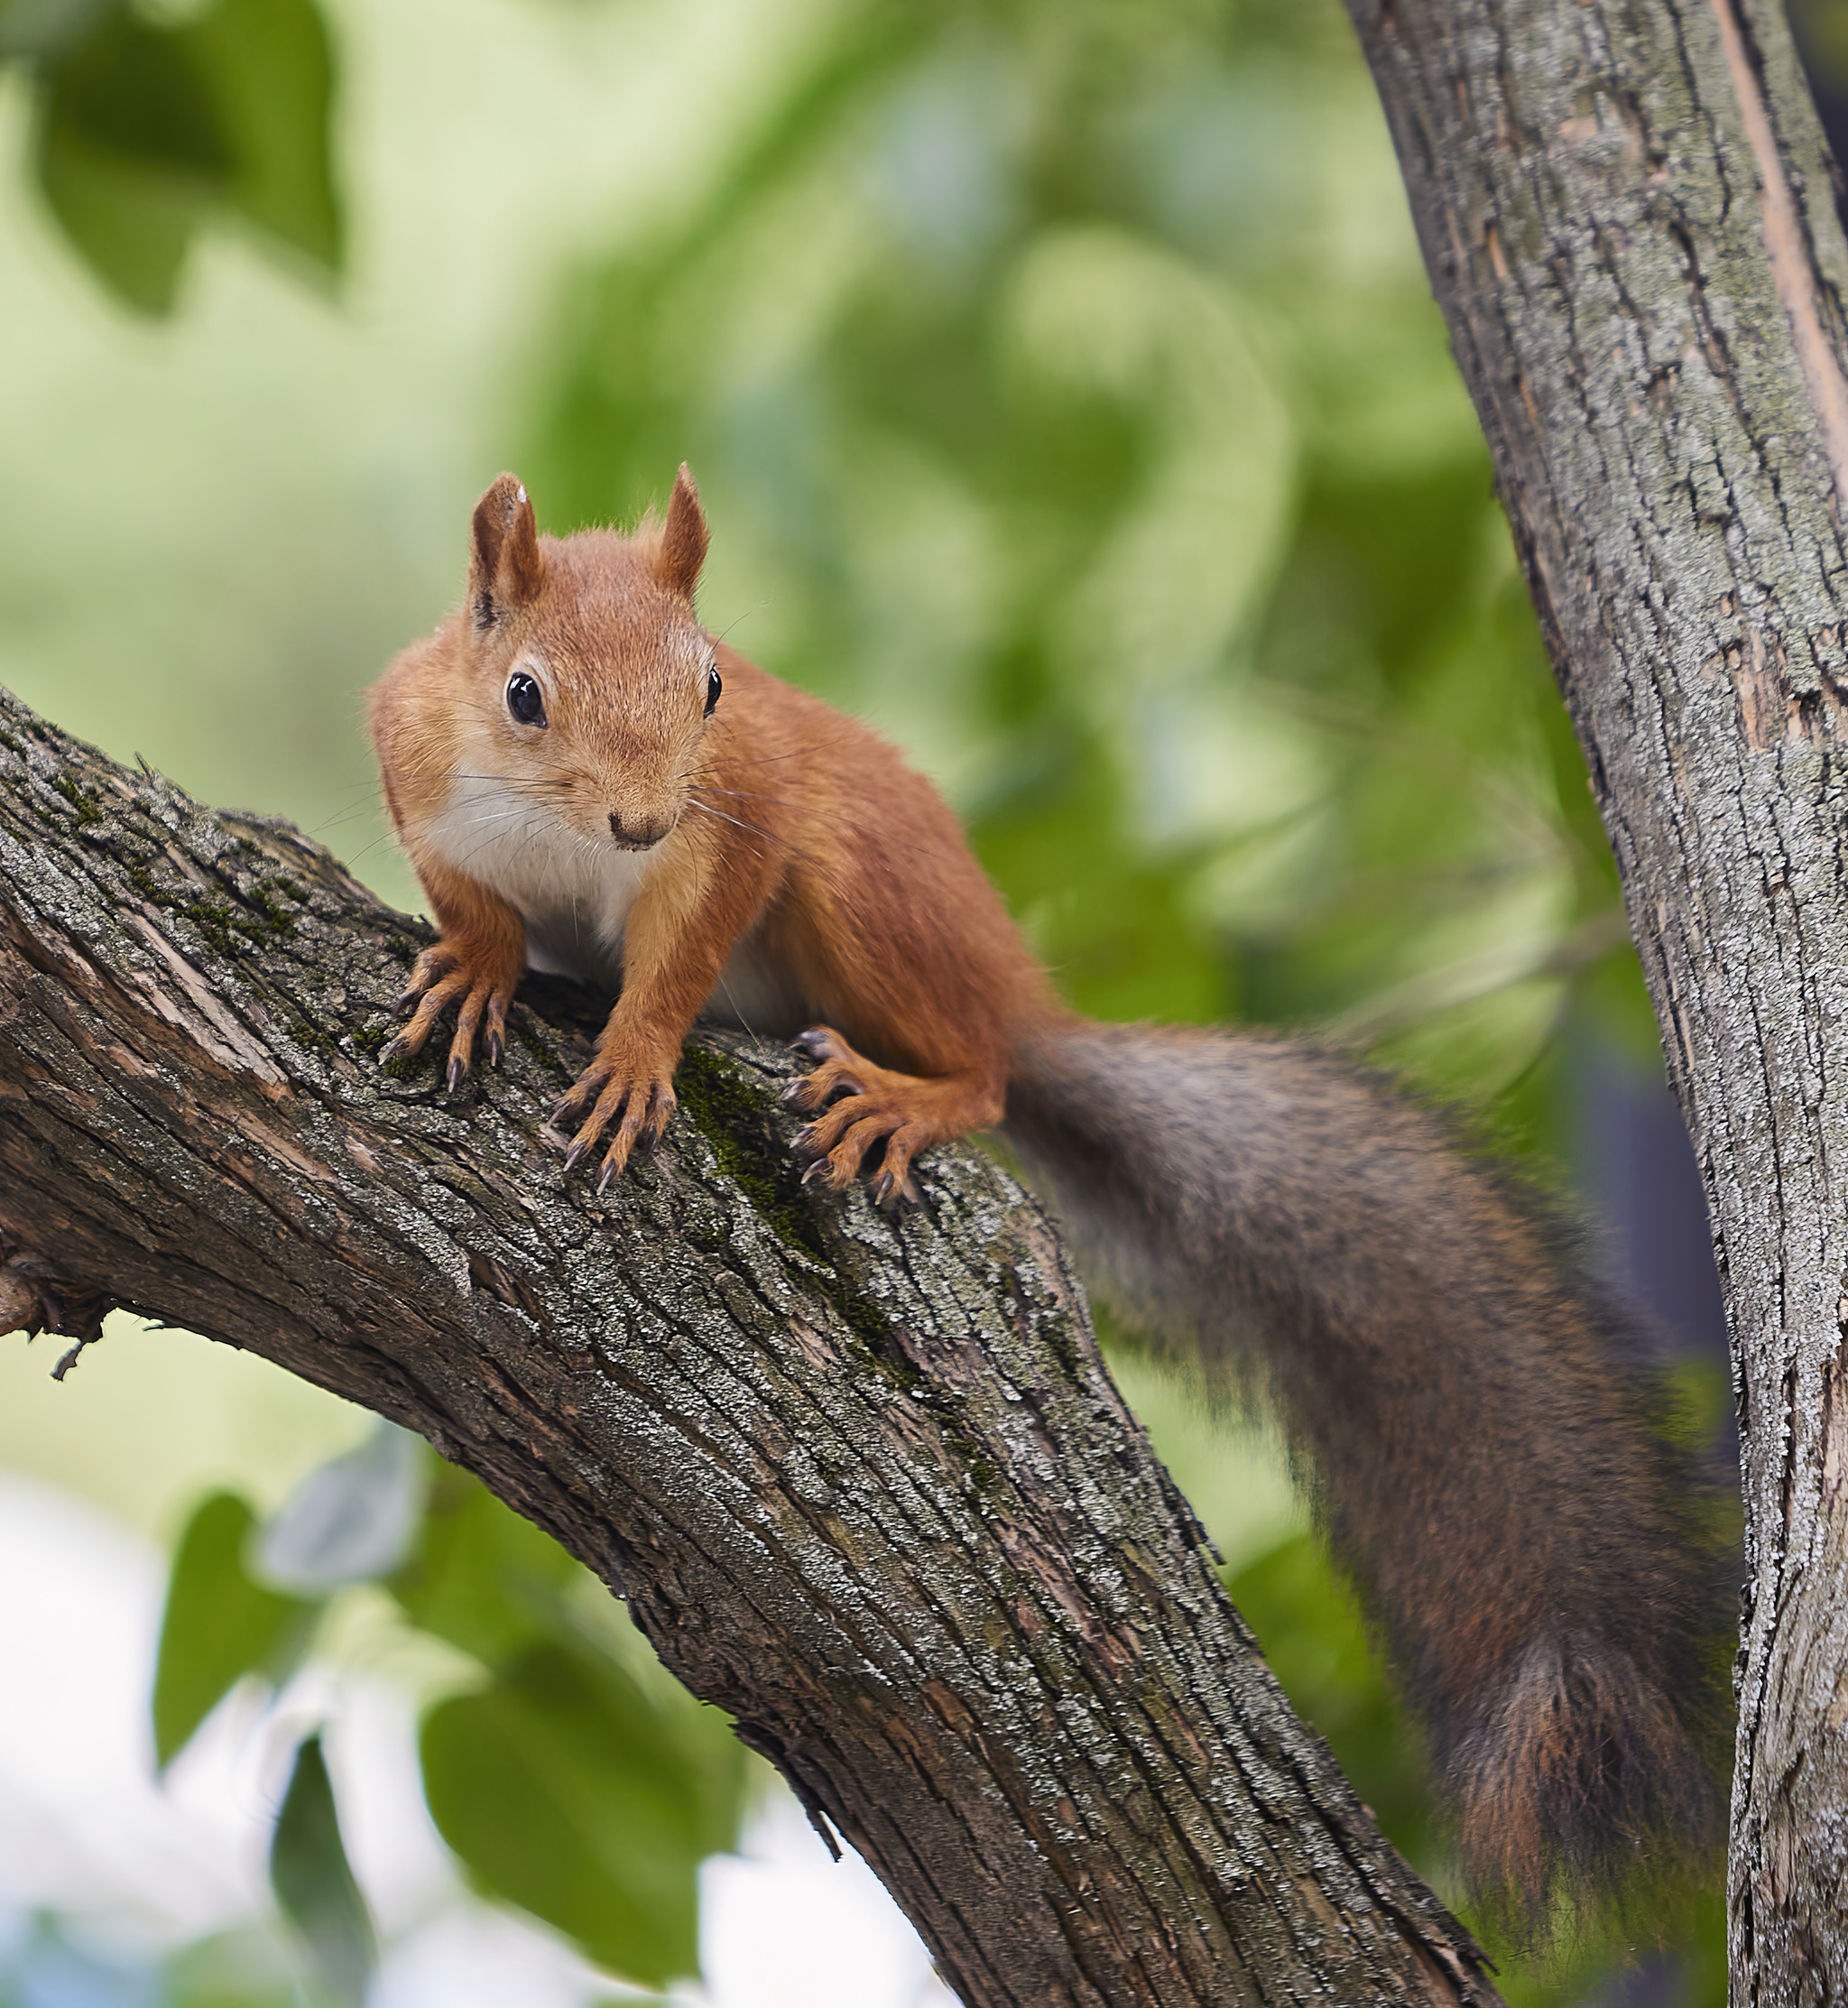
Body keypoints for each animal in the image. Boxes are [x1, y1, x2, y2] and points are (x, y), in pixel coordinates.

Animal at [367, 461, 1727, 1920]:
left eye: (715, 682)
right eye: (522, 693)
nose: (638, 818)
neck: (563, 832)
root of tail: (1017, 993)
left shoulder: (737, 819)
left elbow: (680, 961)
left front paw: (630, 1056)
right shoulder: (415, 760)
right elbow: (472, 901)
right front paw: (480, 967)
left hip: (867, 889)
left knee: (989, 1073)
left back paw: (914, 1095)